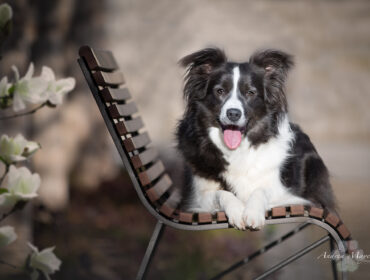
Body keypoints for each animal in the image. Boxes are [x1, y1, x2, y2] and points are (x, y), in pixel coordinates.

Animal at [176, 48, 336, 230]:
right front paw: (237, 210)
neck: (237, 150)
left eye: (250, 93)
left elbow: (261, 190)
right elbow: (221, 192)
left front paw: (253, 213)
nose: (233, 113)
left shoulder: (284, 193)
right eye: (220, 91)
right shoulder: (198, 198)